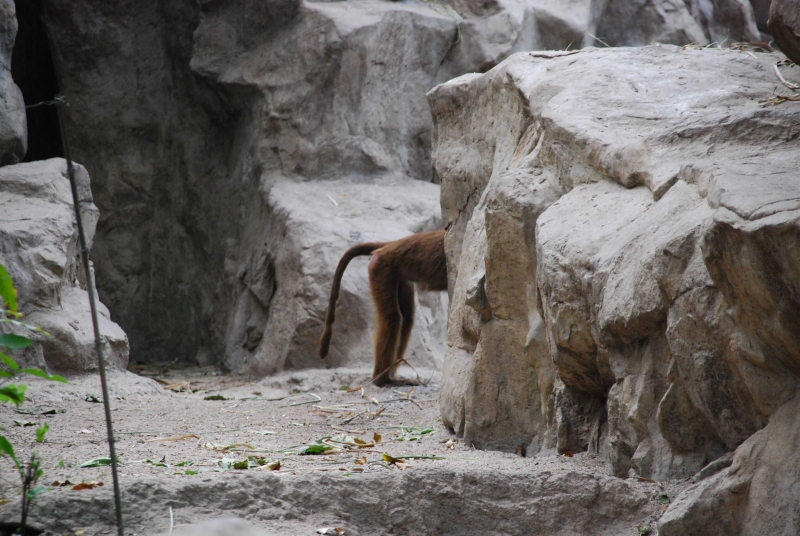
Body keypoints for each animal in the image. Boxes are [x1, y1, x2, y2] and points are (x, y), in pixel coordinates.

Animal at [318, 229, 446, 386]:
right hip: (381, 268)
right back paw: (382, 379)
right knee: (392, 318)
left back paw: (391, 375)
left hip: (398, 275)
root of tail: (390, 246)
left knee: (407, 319)